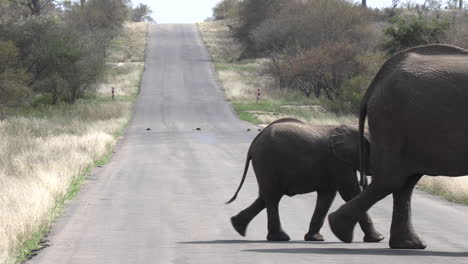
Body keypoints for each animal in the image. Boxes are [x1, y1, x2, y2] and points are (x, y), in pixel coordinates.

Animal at [226, 118, 384, 242]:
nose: (366, 180)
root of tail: (254, 142)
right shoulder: (337, 163)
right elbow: (351, 193)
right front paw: (378, 239)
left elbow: (327, 197)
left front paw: (315, 239)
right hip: (267, 162)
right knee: (272, 197)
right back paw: (280, 238)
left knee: (266, 196)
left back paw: (237, 226)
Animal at [328, 43, 468, 250]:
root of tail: (377, 80)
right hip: (393, 121)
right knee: (390, 180)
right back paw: (340, 229)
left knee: (404, 184)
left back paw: (408, 244)